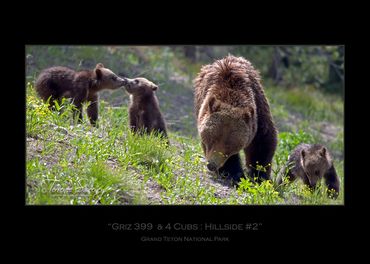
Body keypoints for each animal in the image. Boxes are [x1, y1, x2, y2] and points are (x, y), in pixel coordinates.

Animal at [195, 55, 276, 184]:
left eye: (229, 146)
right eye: (211, 139)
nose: (212, 165)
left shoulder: (258, 115)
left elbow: (262, 144)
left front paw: (259, 176)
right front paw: (234, 174)